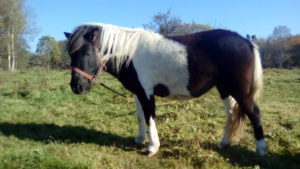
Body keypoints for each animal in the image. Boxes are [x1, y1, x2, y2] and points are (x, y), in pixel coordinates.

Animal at [64, 22, 266, 157]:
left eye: (87, 53)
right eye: (71, 54)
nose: (76, 87)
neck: (129, 53)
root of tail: (247, 42)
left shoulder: (147, 93)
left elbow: (149, 117)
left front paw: (152, 147)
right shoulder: (137, 92)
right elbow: (140, 116)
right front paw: (139, 139)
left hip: (240, 91)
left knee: (254, 113)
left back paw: (261, 150)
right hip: (224, 89)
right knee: (231, 114)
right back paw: (224, 143)